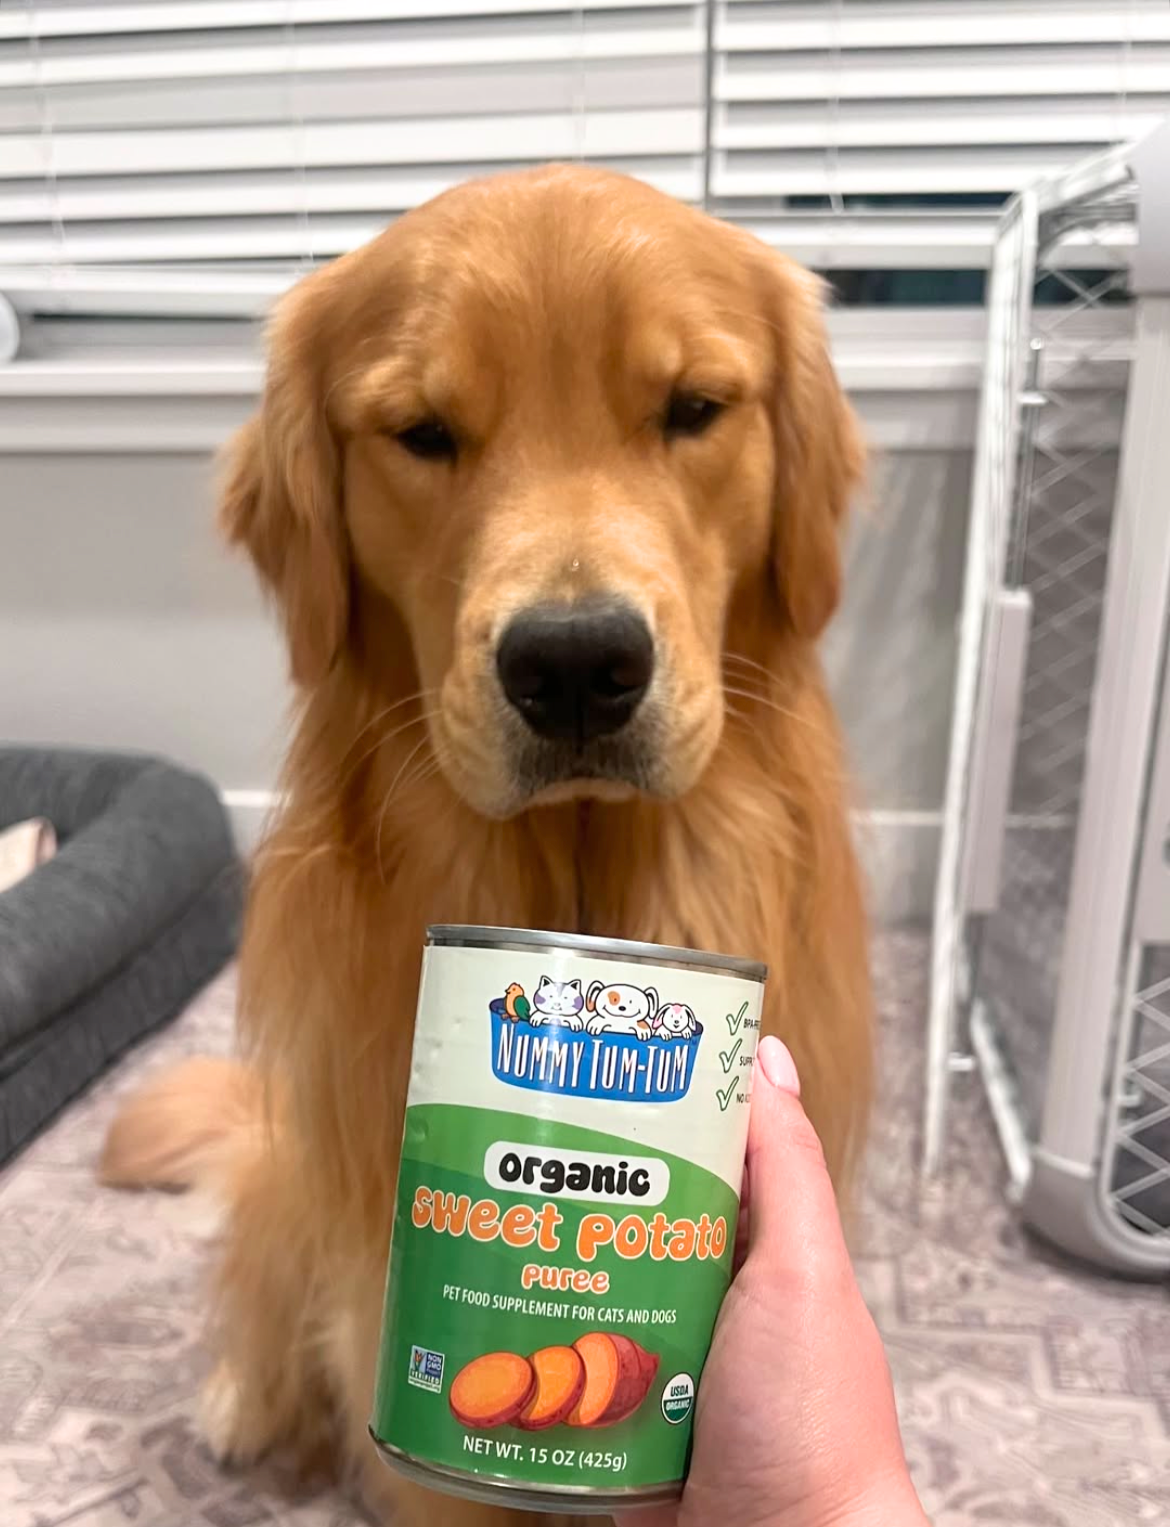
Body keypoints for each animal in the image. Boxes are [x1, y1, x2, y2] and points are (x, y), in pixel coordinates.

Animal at [100, 164, 873, 1527]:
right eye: (422, 432)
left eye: (694, 409)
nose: (574, 667)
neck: (577, 874)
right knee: (260, 1260)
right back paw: (244, 1403)